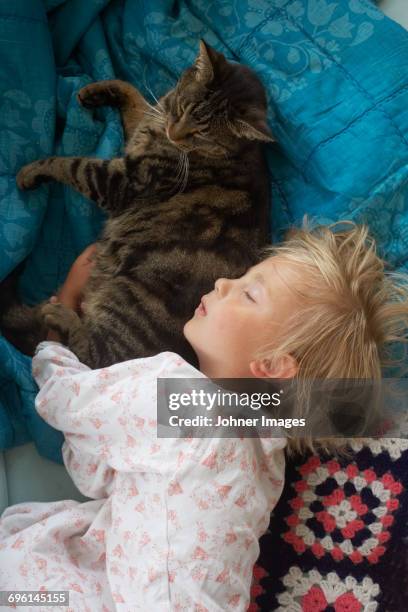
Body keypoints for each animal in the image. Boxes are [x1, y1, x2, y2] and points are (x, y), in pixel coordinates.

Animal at [3, 43, 274, 370]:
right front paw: (100, 89)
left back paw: (59, 314)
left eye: (202, 134)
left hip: (130, 299)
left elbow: (71, 164)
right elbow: (135, 95)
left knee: (84, 355)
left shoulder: (121, 182)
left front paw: (31, 171)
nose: (174, 132)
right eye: (183, 107)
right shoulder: (146, 126)